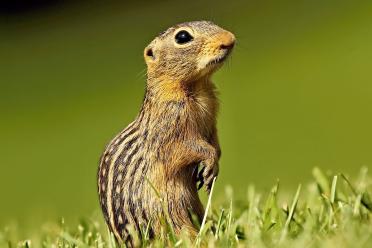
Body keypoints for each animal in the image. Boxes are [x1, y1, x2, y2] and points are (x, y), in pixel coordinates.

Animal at [96, 19, 235, 244]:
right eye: (182, 37)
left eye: (210, 22)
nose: (229, 39)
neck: (197, 86)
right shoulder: (170, 132)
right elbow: (187, 148)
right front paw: (209, 159)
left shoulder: (211, 122)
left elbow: (214, 141)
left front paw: (213, 167)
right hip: (170, 213)